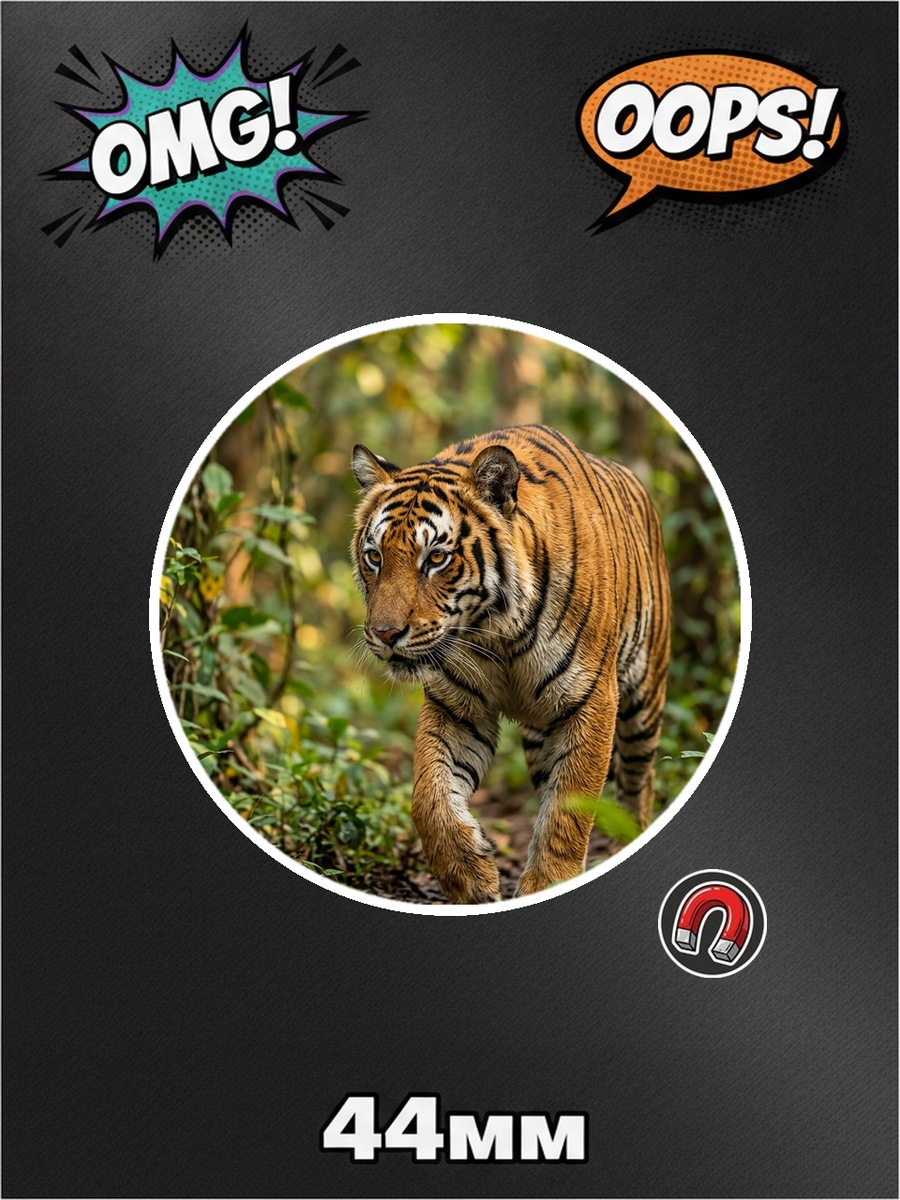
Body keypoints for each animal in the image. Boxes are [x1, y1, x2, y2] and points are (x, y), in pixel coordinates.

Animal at [351, 424, 671, 904]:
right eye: (375, 556)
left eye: (436, 558)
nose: (386, 634)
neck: (496, 631)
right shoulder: (456, 706)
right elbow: (429, 796)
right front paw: (472, 879)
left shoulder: (591, 700)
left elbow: (569, 809)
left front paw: (548, 882)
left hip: (643, 702)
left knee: (638, 783)